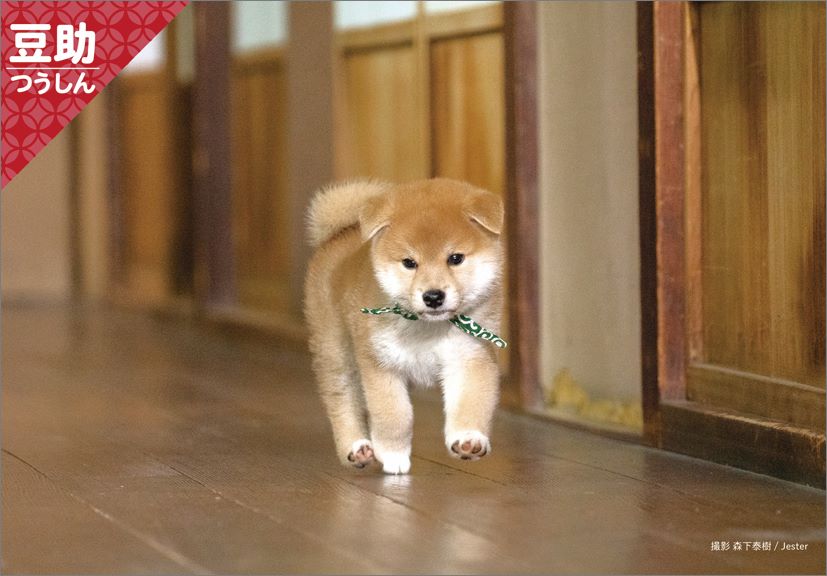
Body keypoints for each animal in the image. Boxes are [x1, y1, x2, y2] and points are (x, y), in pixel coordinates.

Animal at [306, 178, 504, 474]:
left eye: (455, 258)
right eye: (409, 263)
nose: (433, 296)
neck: (426, 327)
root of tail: (340, 232)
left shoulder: (471, 357)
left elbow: (470, 403)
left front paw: (469, 440)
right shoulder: (381, 363)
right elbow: (395, 415)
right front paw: (393, 454)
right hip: (336, 352)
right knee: (342, 400)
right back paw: (356, 449)